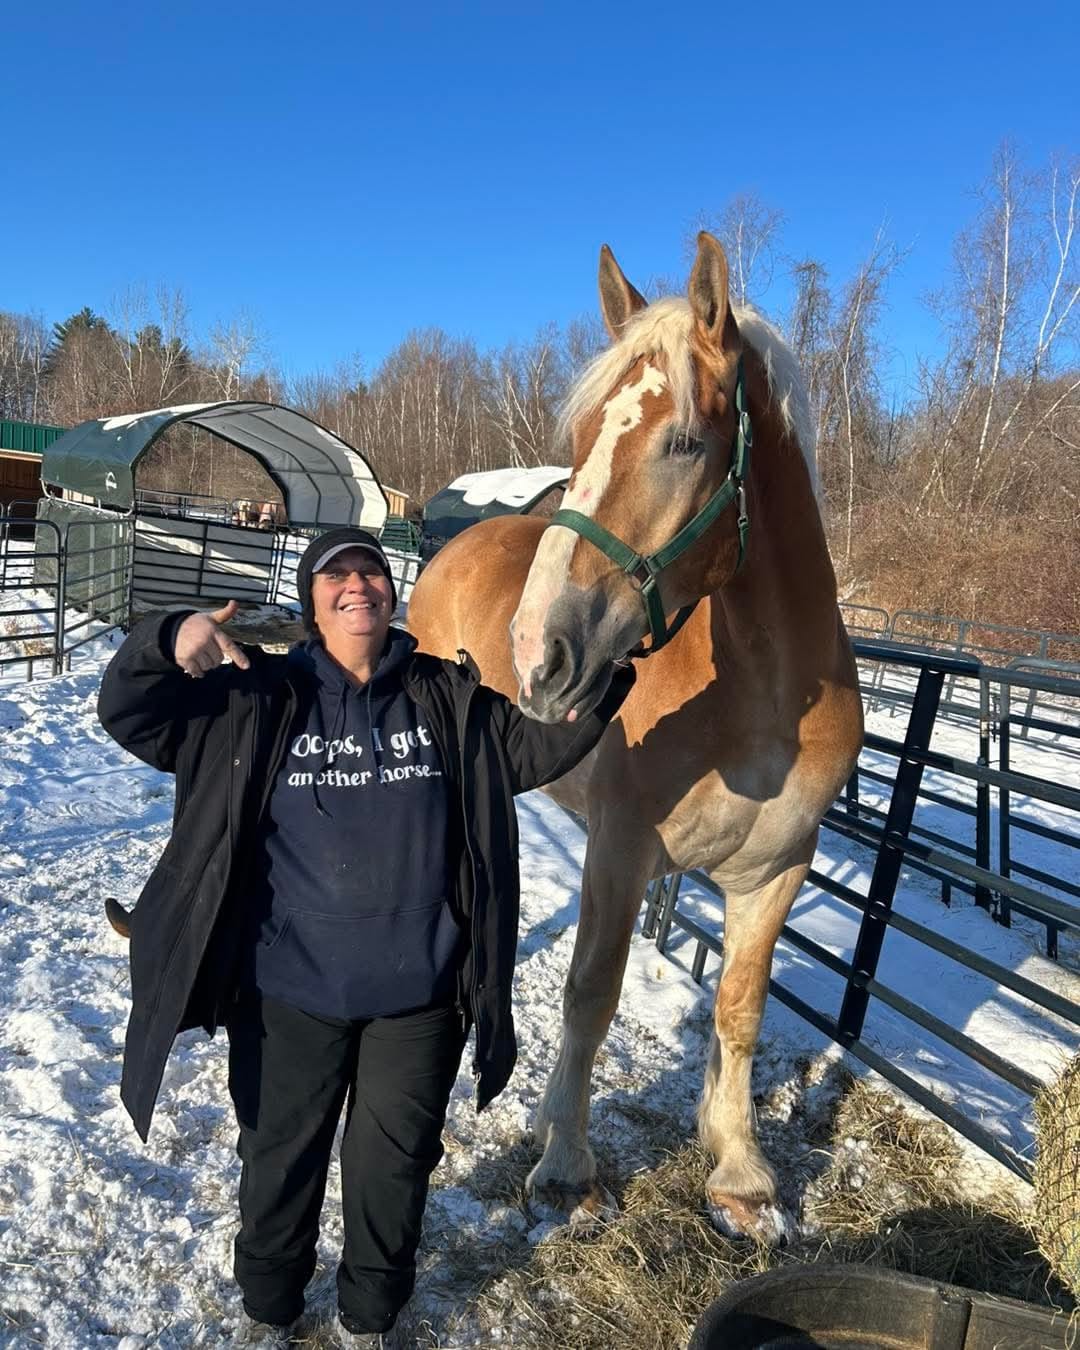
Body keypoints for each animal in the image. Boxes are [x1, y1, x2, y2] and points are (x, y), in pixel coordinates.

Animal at [407, 232, 864, 1235]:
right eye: (580, 444)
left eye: (684, 441)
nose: (537, 651)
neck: (760, 700)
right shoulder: (620, 852)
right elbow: (591, 993)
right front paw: (566, 1168)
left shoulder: (777, 869)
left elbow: (739, 1010)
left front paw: (740, 1173)